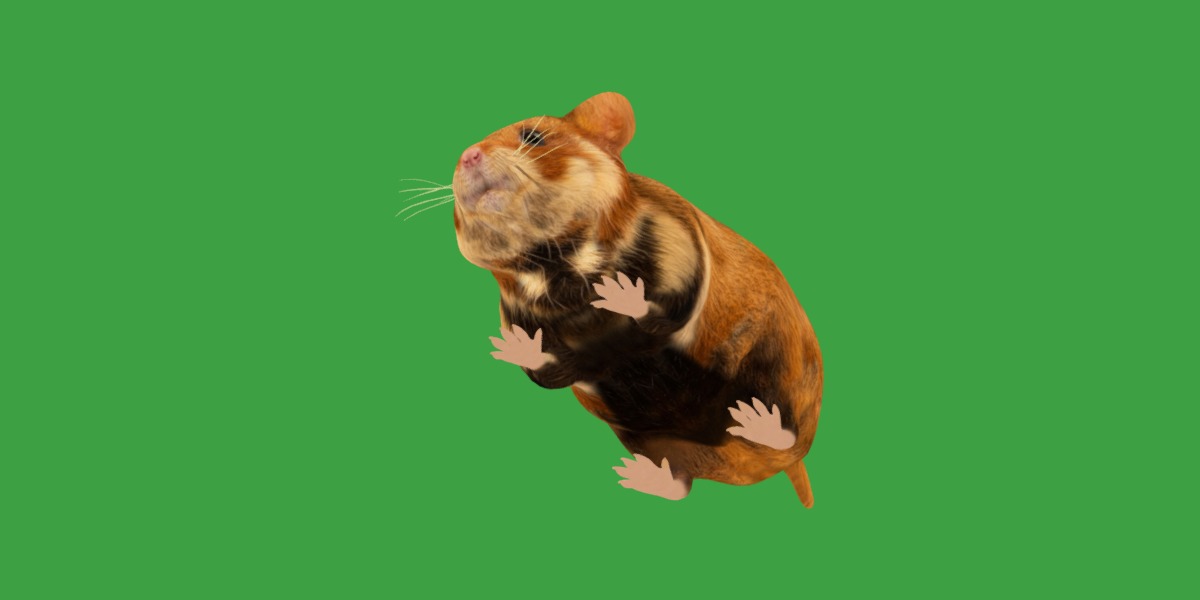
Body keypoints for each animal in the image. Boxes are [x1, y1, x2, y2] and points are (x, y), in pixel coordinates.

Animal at [450, 92, 823, 507]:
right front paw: (518, 347)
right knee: (679, 484)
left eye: (532, 136)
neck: (560, 268)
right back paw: (645, 478)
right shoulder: (518, 314)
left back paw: (762, 422)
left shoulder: (678, 247)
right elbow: (548, 373)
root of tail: (765, 466)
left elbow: (668, 308)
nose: (467, 155)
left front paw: (623, 293)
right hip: (647, 441)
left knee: (785, 431)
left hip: (776, 375)